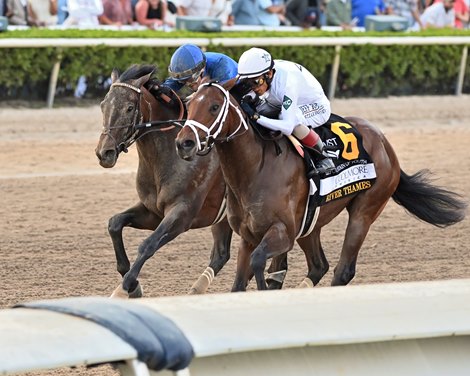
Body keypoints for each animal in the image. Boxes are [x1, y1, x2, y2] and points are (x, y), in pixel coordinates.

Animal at [94, 66, 234, 298]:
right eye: (103, 105)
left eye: (130, 108)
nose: (104, 153)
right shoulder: (153, 211)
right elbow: (114, 224)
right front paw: (132, 285)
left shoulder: (183, 214)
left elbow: (148, 245)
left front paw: (125, 289)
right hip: (224, 218)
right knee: (221, 254)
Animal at [175, 80, 466, 290]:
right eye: (189, 104)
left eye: (214, 107)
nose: (184, 143)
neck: (256, 169)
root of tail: (384, 141)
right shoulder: (248, 236)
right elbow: (239, 282)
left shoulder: (283, 233)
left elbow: (259, 262)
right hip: (311, 222)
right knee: (319, 266)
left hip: (364, 211)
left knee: (343, 270)